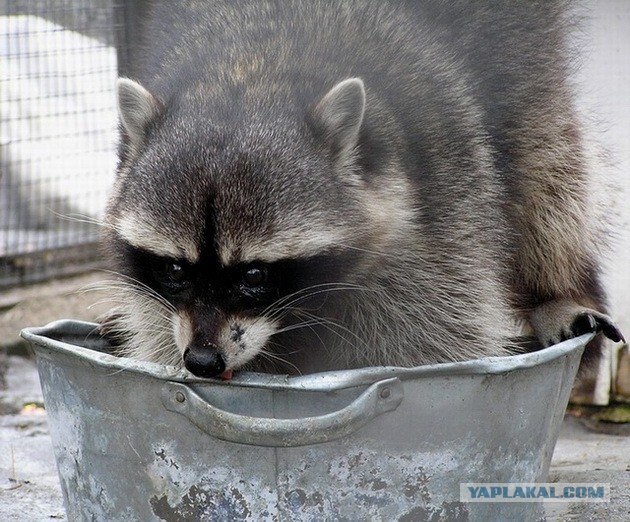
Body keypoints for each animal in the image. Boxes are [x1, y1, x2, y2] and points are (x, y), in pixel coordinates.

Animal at [101, 0, 624, 374]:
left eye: (254, 274)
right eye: (174, 268)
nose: (203, 362)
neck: (252, 75)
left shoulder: (443, 199)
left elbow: (433, 330)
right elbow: (156, 322)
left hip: (522, 55)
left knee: (546, 168)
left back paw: (555, 289)